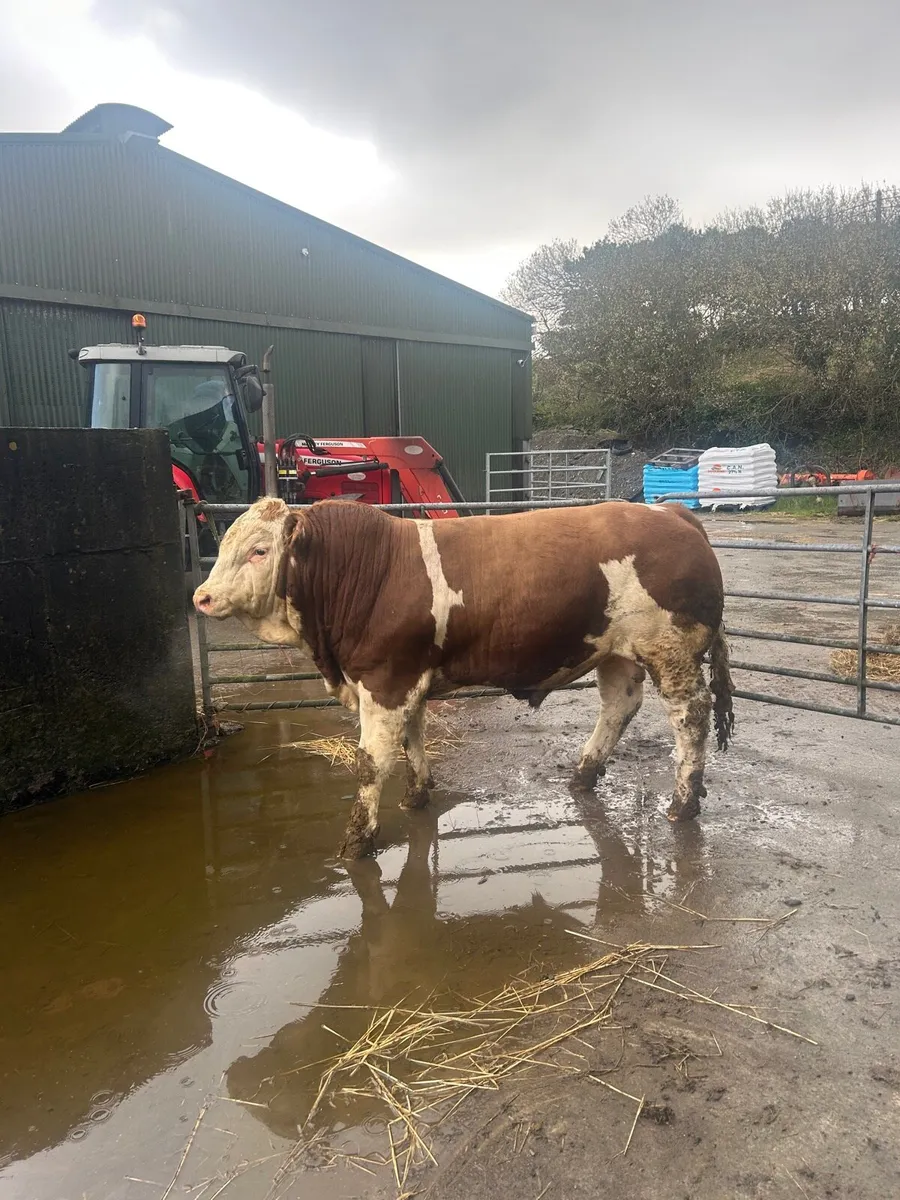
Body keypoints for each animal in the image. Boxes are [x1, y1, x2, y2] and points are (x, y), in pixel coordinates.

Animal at [193, 497, 734, 859]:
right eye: (223, 545)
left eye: (259, 551)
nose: (201, 596)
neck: (367, 570)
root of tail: (671, 512)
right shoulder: (405, 677)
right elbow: (412, 738)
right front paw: (416, 795)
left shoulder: (384, 679)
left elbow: (371, 764)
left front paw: (357, 841)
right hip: (615, 652)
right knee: (619, 705)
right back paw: (584, 775)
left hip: (670, 652)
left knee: (691, 718)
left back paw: (683, 801)